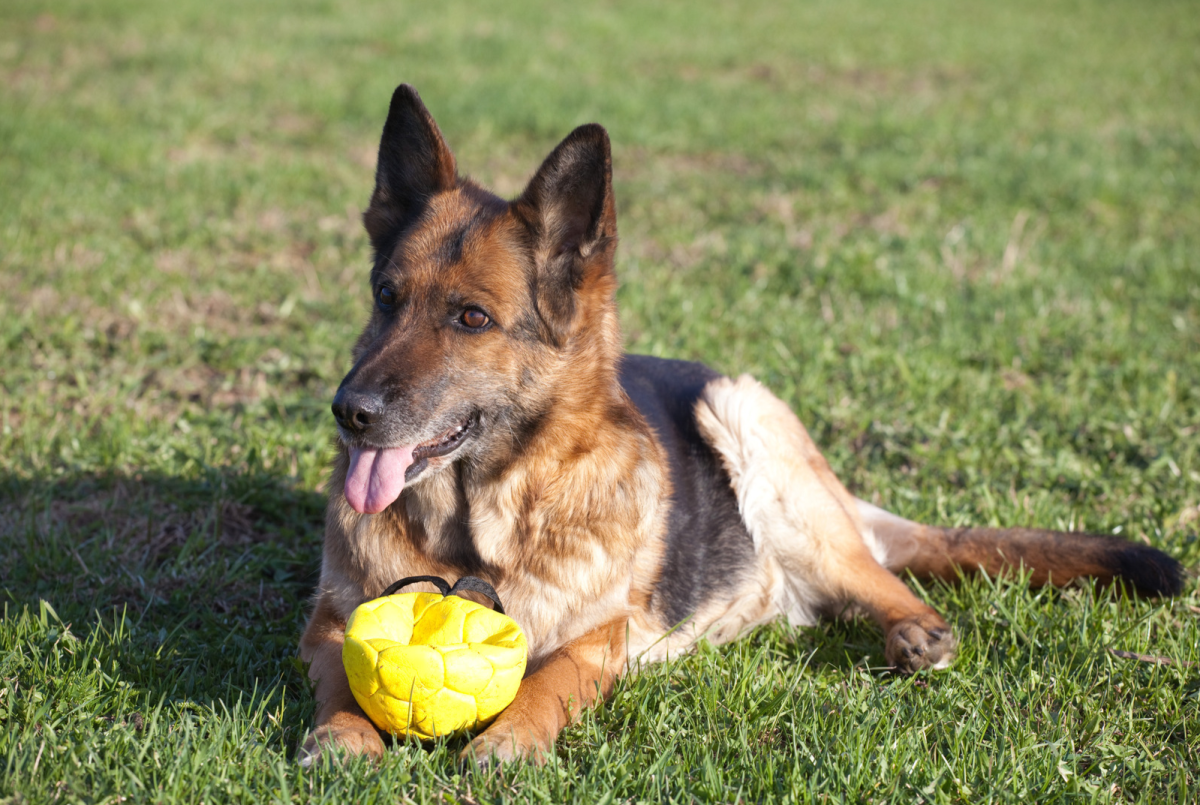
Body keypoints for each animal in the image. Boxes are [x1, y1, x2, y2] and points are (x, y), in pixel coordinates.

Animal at [297, 83, 1180, 767]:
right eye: (385, 296)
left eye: (472, 318)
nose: (350, 413)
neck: (472, 532)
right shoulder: (329, 622)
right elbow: (344, 669)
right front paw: (342, 734)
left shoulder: (598, 639)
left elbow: (546, 680)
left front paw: (509, 739)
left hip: (749, 423)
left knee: (878, 576)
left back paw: (916, 631)